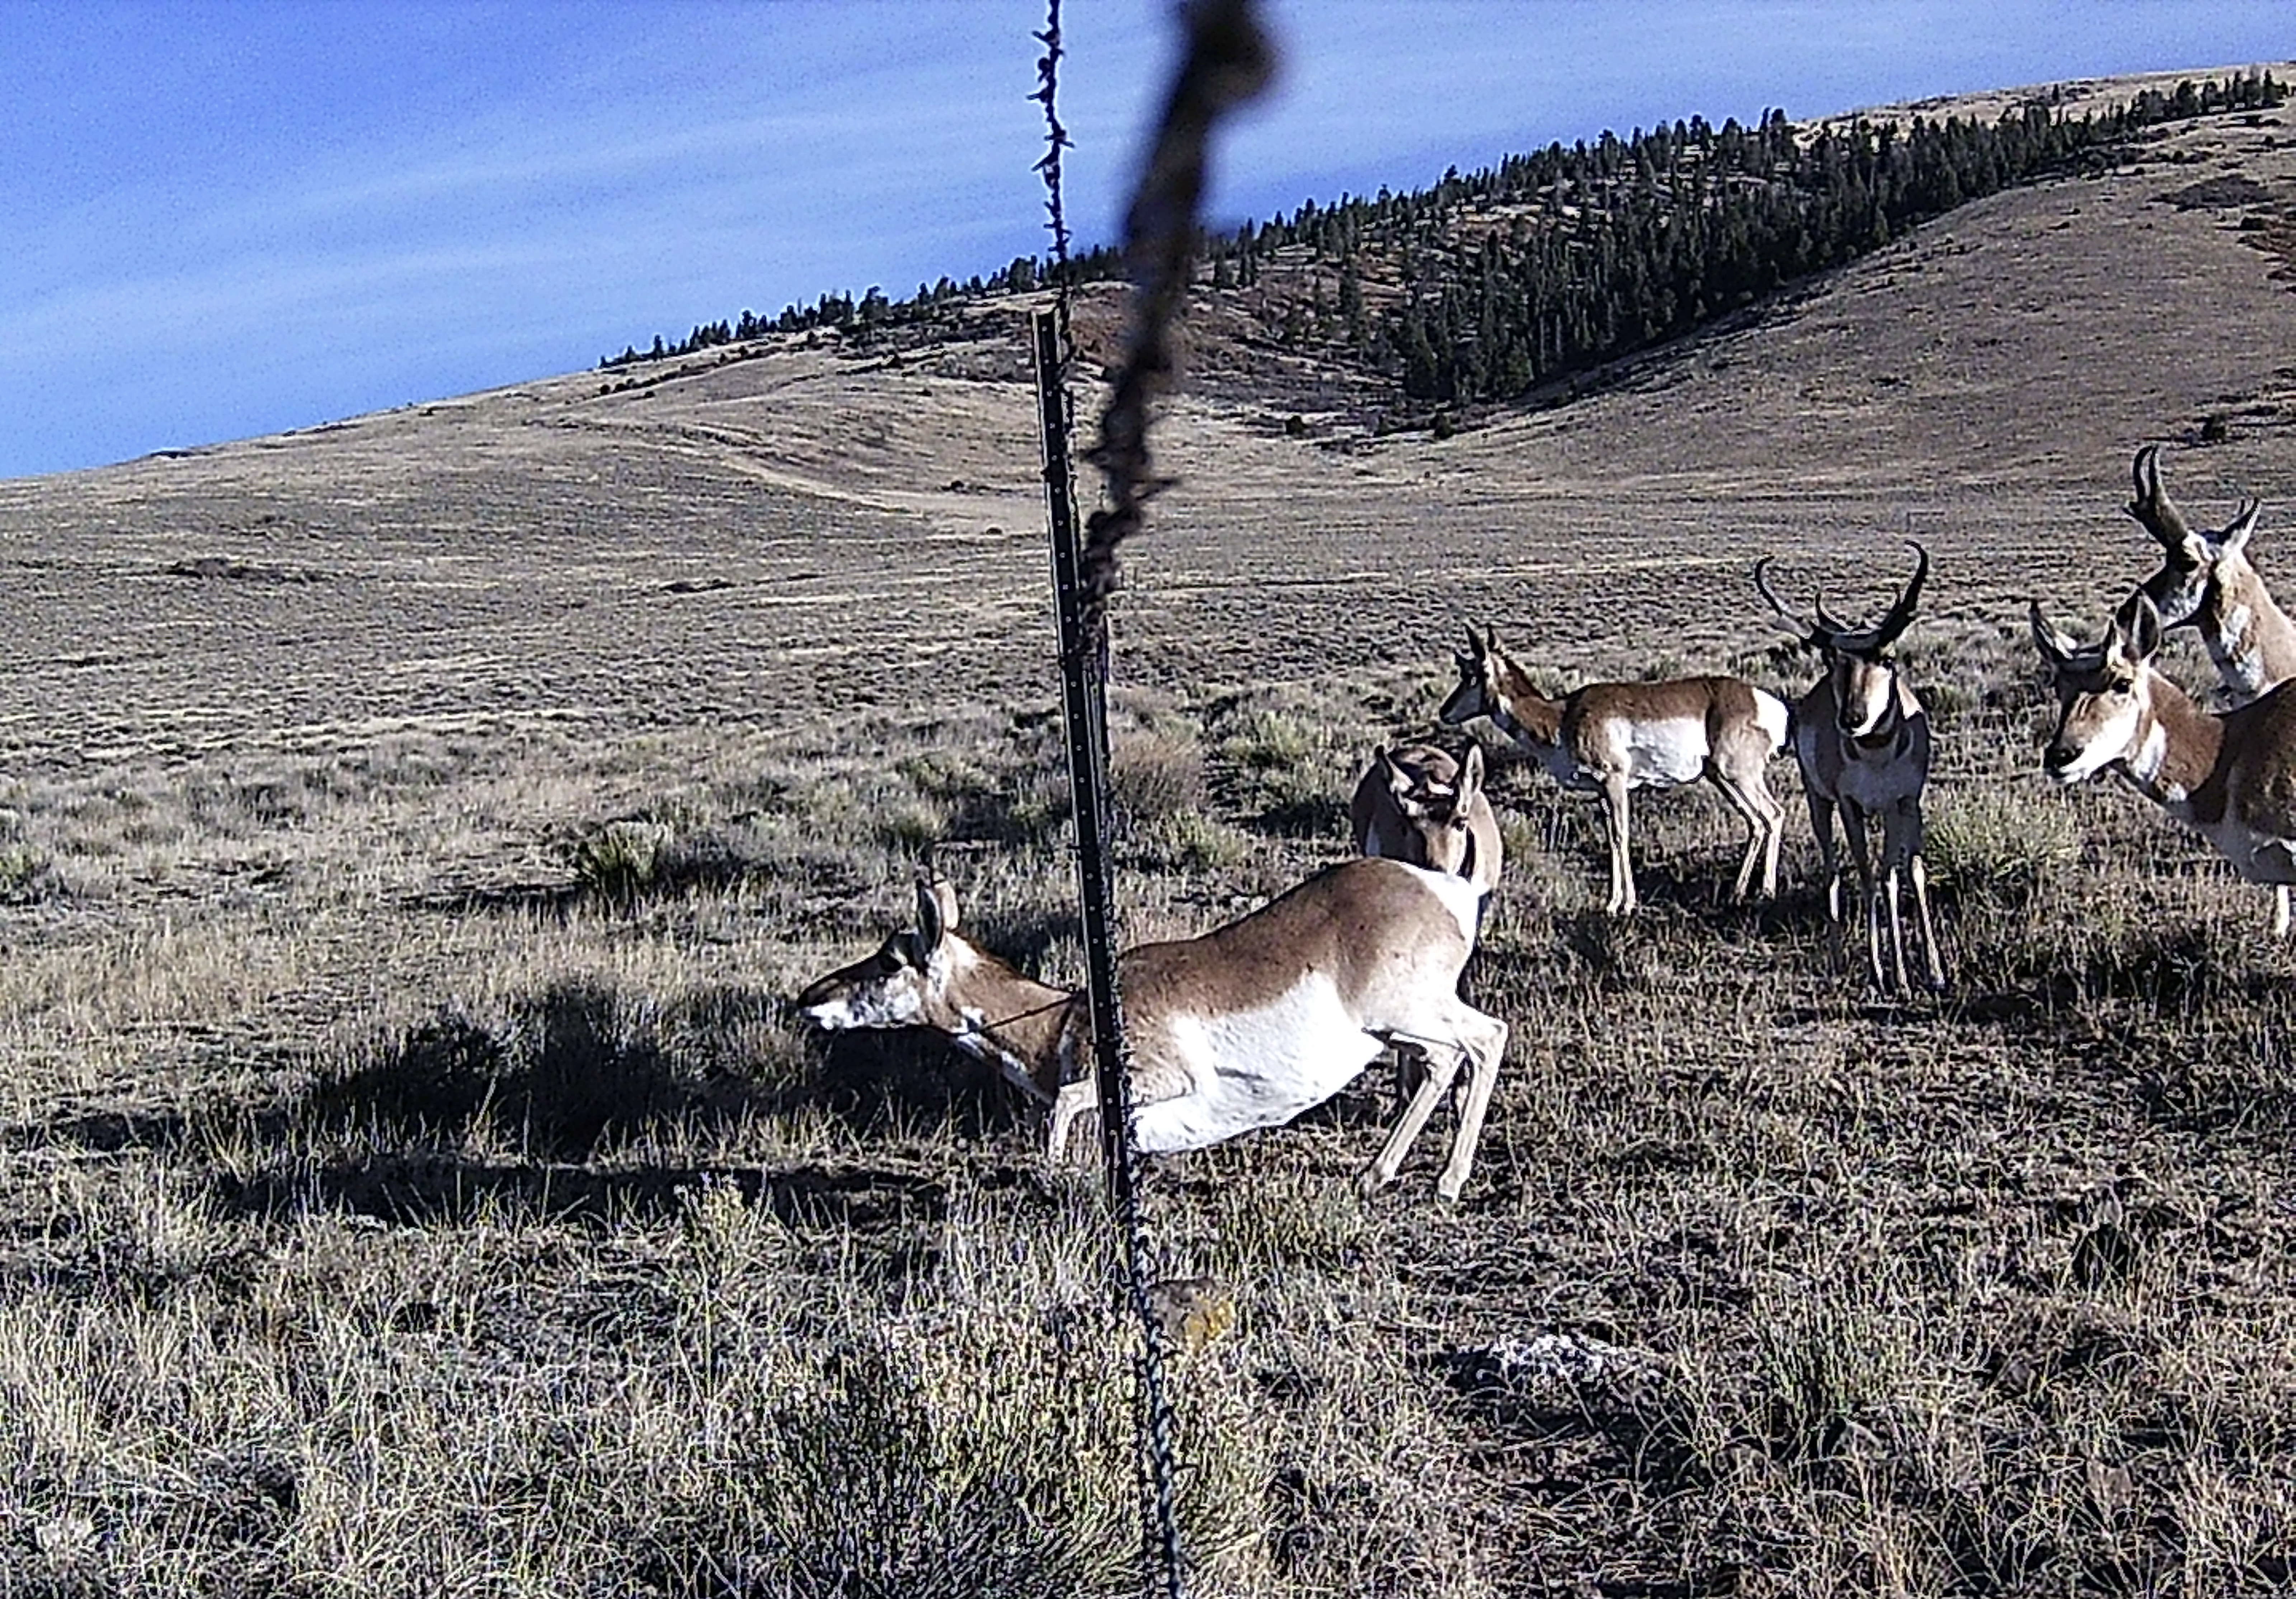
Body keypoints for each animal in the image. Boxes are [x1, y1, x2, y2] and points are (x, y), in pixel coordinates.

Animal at [795, 859, 1510, 1200]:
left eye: (890, 959)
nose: (809, 999)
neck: (1066, 1016)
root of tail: (1445, 887)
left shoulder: (1158, 1080)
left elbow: (1065, 1107)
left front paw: (1056, 1178)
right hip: (1396, 1032)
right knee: (1445, 1062)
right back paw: (1375, 1175)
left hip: (1409, 1015)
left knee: (1486, 1038)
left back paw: (1447, 1183)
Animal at [1438, 627, 1789, 915]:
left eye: (1473, 673)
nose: (1444, 712)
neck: (1562, 717)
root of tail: (1762, 700)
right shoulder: (1601, 793)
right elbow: (1610, 838)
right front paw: (1612, 902)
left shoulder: (1615, 782)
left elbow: (1621, 835)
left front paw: (1627, 904)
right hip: (1721, 778)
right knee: (1756, 822)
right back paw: (1738, 893)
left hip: (1739, 774)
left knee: (1773, 814)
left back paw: (1766, 892)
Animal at [1753, 541, 1946, 991]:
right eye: (1832, 659)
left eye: (1887, 658)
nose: (1852, 717)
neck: (1876, 756)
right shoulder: (1850, 805)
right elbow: (1867, 874)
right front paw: (1882, 971)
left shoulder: (1904, 802)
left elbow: (1906, 873)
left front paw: (1929, 971)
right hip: (1819, 803)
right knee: (1832, 868)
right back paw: (1839, 959)